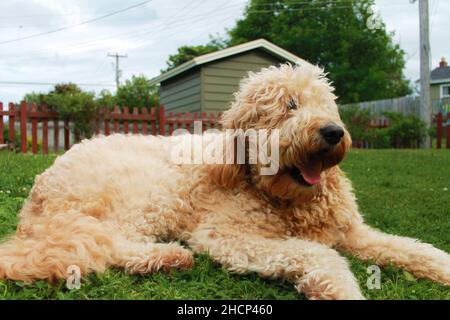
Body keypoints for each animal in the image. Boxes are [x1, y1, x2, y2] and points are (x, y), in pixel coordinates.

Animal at [0, 63, 450, 298]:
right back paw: (165, 257)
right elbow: (317, 254)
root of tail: (42, 189)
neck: (287, 199)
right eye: (288, 106)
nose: (333, 132)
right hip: (147, 193)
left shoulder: (353, 232)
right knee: (110, 243)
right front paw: (341, 289)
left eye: (327, 104)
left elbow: (411, 248)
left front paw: (440, 266)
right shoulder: (226, 235)